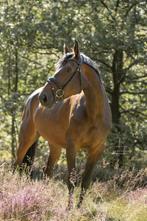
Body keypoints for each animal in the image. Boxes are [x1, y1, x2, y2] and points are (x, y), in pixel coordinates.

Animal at [15, 41, 111, 209]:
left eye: (68, 69)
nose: (44, 97)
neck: (93, 114)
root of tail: (32, 96)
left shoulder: (96, 150)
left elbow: (85, 182)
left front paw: (79, 208)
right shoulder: (72, 148)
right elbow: (71, 180)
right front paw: (69, 209)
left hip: (55, 146)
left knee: (47, 171)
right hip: (26, 138)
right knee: (17, 163)